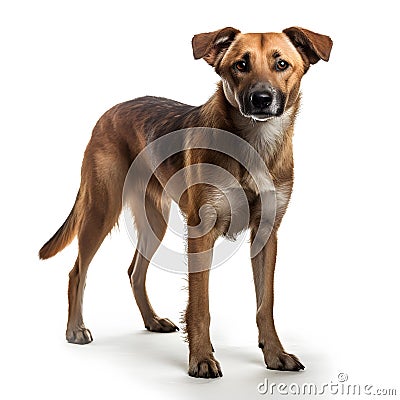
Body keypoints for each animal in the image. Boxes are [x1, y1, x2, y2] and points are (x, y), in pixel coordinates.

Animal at [38, 25, 332, 378]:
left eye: (282, 64)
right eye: (241, 65)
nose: (260, 99)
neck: (254, 144)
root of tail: (110, 112)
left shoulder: (266, 235)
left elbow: (266, 304)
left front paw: (275, 354)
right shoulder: (201, 234)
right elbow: (200, 305)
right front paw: (201, 359)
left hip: (155, 220)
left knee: (134, 272)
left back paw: (151, 321)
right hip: (101, 209)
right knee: (77, 272)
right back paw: (75, 329)